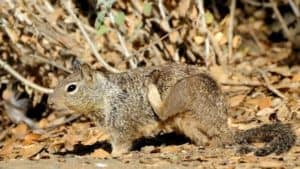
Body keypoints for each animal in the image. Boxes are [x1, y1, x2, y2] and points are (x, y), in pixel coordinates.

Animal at [47, 64, 296, 156]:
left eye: (71, 88)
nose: (49, 102)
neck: (105, 95)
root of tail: (222, 125)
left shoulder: (121, 122)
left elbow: (122, 143)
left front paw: (112, 155)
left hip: (185, 91)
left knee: (165, 111)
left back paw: (151, 87)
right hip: (187, 123)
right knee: (205, 140)